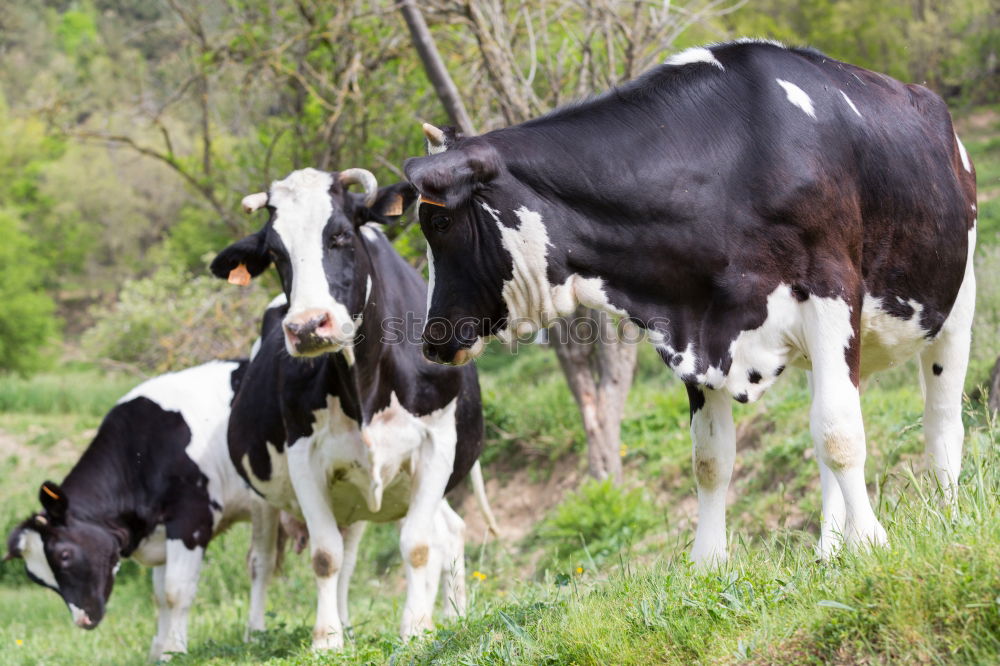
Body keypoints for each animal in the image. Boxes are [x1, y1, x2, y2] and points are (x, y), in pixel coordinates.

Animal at [5, 360, 284, 660]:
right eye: (37, 578)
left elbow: (175, 590)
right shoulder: (160, 534)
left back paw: (255, 634)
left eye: (64, 555)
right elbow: (160, 596)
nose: (83, 620)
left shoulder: (190, 521)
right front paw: (160, 653)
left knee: (260, 564)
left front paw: (175, 651)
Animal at [211, 166, 492, 648]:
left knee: (440, 533)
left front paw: (417, 628)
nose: (307, 326)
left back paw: (446, 615)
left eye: (340, 234)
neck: (365, 384)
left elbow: (418, 545)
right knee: (263, 559)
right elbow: (326, 555)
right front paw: (326, 638)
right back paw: (258, 633)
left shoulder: (436, 443)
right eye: (276, 253)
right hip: (264, 493)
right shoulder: (304, 454)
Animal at [404, 39, 976, 564]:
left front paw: (871, 543)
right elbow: (712, 458)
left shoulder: (832, 293)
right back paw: (830, 545)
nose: (432, 340)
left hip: (955, 302)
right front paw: (709, 564)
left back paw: (947, 513)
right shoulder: (693, 332)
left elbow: (839, 433)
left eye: (438, 222)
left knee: (942, 414)